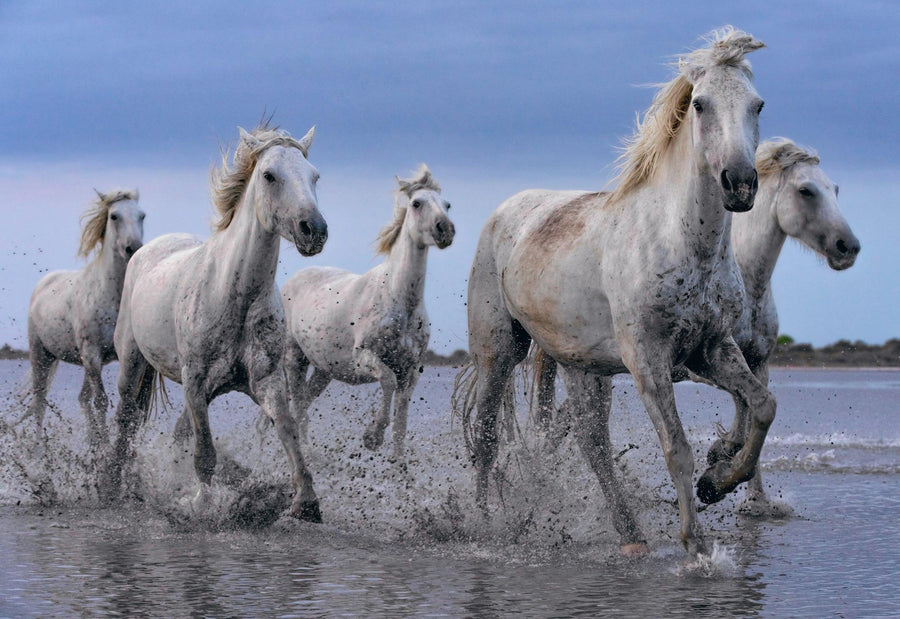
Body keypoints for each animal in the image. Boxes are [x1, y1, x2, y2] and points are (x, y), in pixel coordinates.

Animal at [20, 189, 144, 446]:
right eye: (114, 216)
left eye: (142, 216)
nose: (133, 248)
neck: (110, 296)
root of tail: (42, 285)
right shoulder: (92, 354)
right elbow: (101, 402)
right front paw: (105, 449)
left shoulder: (122, 356)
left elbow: (128, 406)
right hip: (41, 356)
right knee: (39, 402)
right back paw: (38, 450)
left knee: (80, 398)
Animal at [107, 124, 328, 521]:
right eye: (269, 176)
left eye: (314, 175)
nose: (313, 229)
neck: (233, 296)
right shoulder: (194, 380)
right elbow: (205, 453)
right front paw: (203, 506)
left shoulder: (265, 381)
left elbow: (287, 430)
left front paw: (306, 502)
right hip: (132, 365)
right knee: (126, 419)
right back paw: (113, 485)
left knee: (179, 432)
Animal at [281, 165, 454, 457]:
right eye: (417, 203)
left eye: (447, 205)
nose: (445, 230)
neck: (400, 302)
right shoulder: (365, 356)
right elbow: (387, 382)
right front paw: (372, 437)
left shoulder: (411, 370)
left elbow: (401, 421)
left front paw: (399, 464)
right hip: (294, 358)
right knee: (299, 405)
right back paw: (307, 452)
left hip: (324, 370)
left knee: (303, 400)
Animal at [454, 28, 771, 557]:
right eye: (701, 104)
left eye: (758, 105)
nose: (741, 183)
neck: (684, 243)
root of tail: (505, 211)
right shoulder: (647, 359)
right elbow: (676, 448)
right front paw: (696, 547)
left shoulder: (712, 348)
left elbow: (763, 405)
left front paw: (717, 481)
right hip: (499, 352)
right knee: (486, 437)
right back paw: (480, 524)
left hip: (583, 368)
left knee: (592, 444)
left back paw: (630, 535)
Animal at [531, 138, 861, 513]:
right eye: (806, 191)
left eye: (835, 189)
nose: (848, 247)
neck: (750, 281)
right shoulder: (705, 365)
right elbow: (743, 411)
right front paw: (719, 463)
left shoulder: (757, 363)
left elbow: (755, 412)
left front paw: (751, 496)